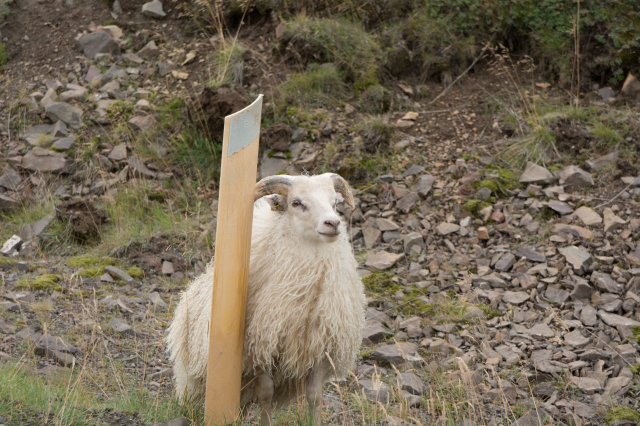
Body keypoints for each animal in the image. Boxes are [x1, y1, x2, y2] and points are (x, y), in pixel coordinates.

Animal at [166, 173, 366, 425]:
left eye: (334, 203)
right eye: (296, 203)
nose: (333, 223)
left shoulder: (320, 347)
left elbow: (314, 395)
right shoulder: (259, 350)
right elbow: (266, 394)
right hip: (193, 374)